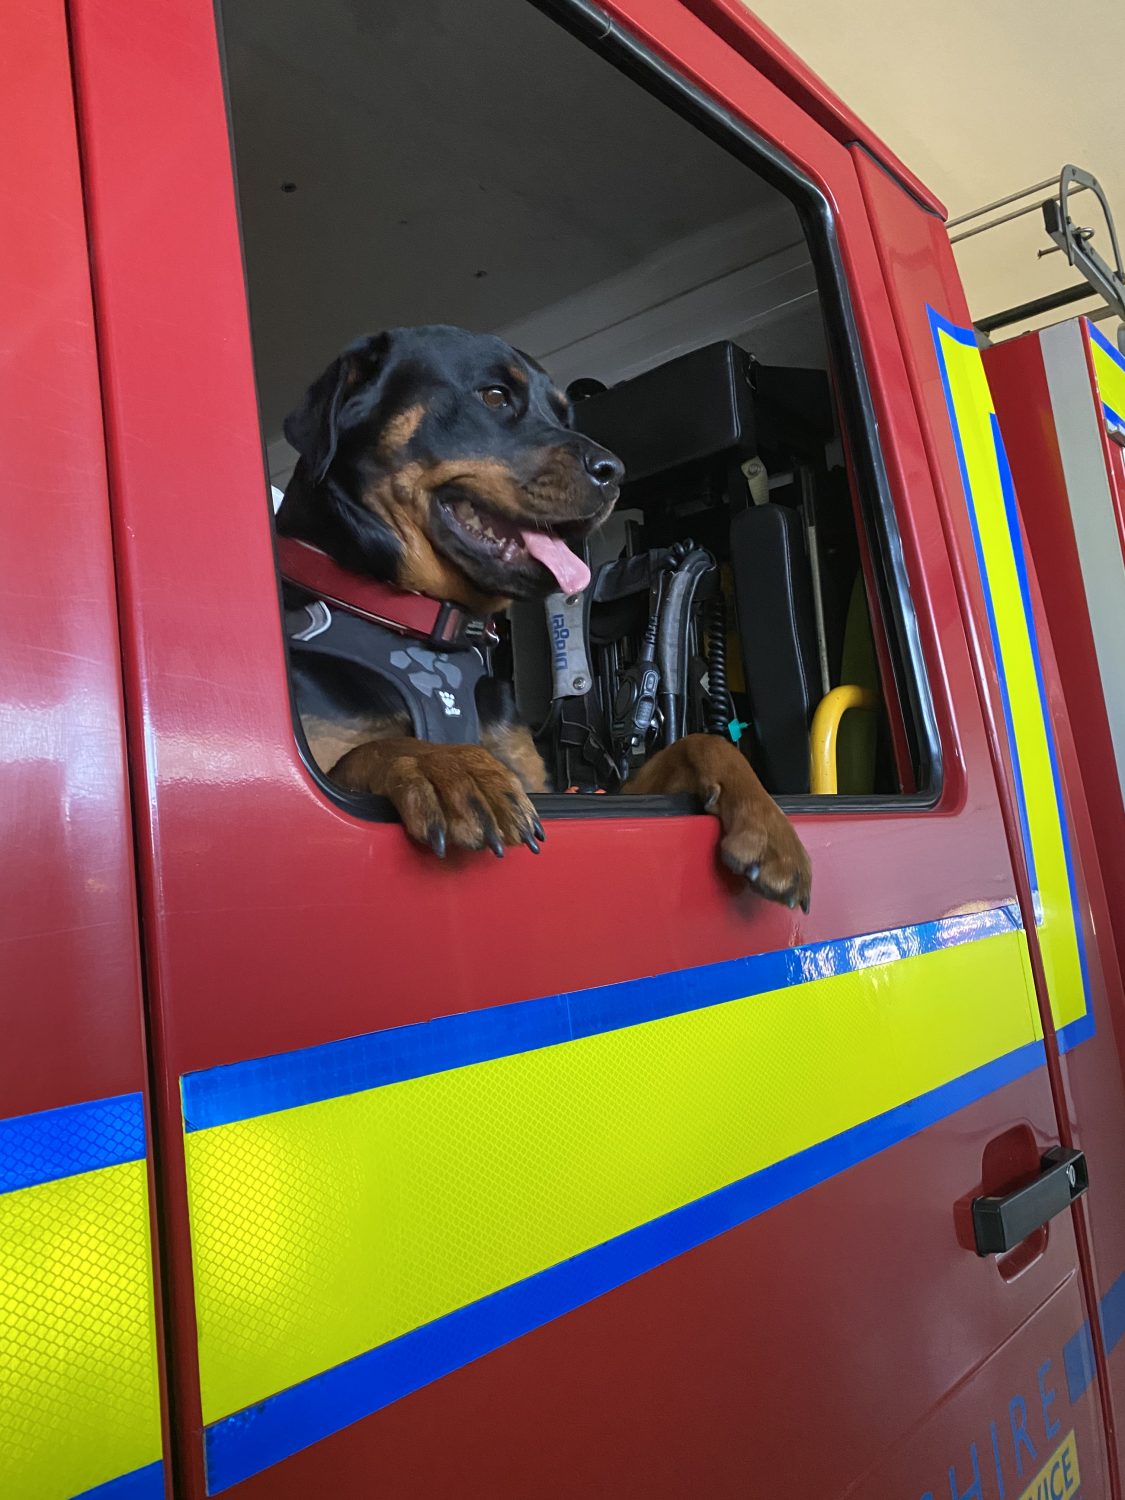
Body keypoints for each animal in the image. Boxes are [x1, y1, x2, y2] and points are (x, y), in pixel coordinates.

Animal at [278, 325, 811, 910]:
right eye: (493, 396)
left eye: (564, 415)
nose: (614, 472)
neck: (429, 630)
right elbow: (370, 749)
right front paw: (446, 765)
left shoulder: (565, 794)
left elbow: (698, 744)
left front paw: (770, 826)